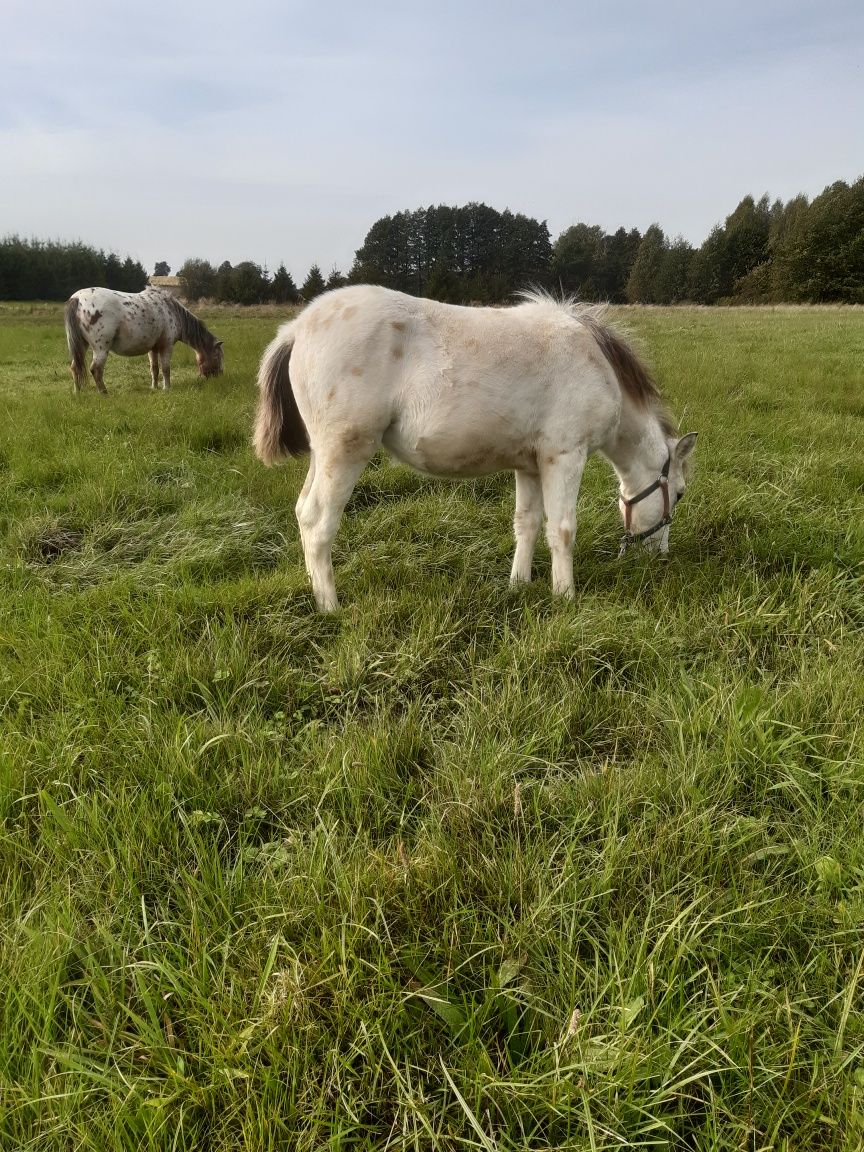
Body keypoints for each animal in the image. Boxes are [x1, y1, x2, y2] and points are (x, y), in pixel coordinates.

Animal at [65, 285, 224, 393]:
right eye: (217, 357)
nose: (219, 377)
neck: (170, 309)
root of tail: (77, 298)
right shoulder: (166, 346)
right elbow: (166, 368)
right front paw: (167, 388)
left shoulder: (152, 348)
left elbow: (154, 369)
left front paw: (154, 387)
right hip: (101, 349)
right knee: (96, 369)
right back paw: (104, 393)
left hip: (82, 346)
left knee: (75, 367)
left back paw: (77, 392)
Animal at [253, 285, 700, 612]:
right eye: (678, 493)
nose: (659, 557)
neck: (596, 364)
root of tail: (297, 328)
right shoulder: (564, 457)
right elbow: (562, 529)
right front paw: (565, 597)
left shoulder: (530, 465)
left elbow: (527, 524)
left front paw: (519, 586)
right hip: (345, 452)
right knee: (318, 522)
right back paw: (330, 607)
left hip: (322, 454)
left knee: (302, 511)